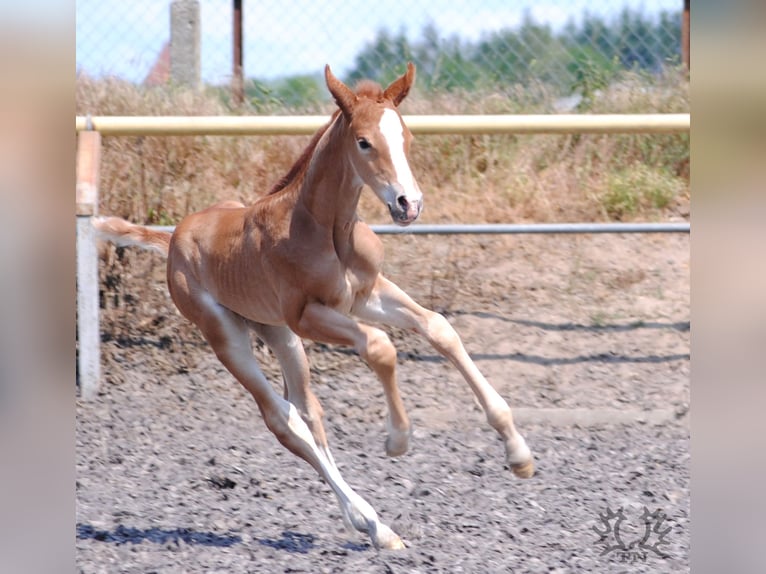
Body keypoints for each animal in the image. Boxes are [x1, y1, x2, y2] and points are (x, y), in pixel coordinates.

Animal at [96, 64, 536, 552]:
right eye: (364, 142)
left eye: (406, 137)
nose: (409, 204)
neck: (325, 229)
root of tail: (173, 236)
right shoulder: (308, 316)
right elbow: (380, 347)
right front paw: (398, 439)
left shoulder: (366, 294)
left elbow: (439, 328)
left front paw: (518, 453)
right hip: (226, 334)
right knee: (282, 419)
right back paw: (376, 524)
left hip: (276, 332)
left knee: (308, 412)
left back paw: (365, 522)